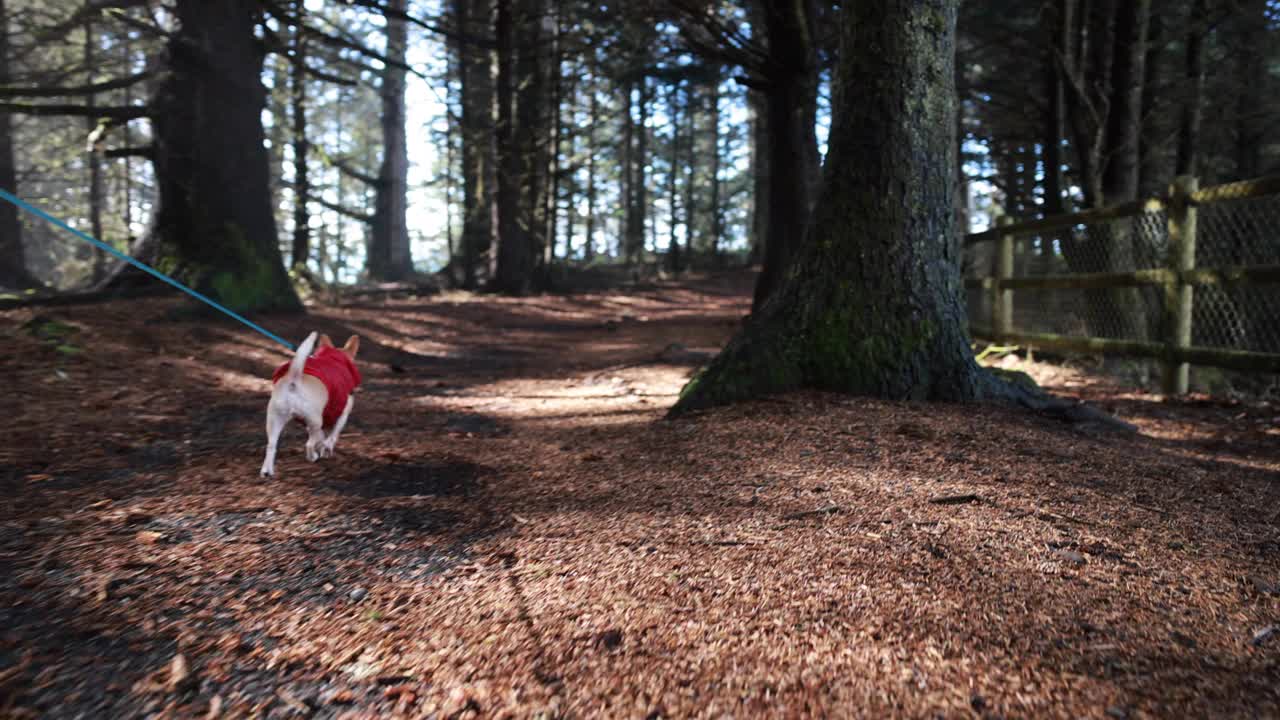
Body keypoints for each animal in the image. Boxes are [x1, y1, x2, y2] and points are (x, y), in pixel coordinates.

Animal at [259, 330, 360, 476]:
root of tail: (294, 380)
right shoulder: (342, 415)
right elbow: (333, 435)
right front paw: (326, 448)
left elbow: (322, 436)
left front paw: (323, 445)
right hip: (315, 420)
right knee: (309, 444)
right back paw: (313, 457)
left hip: (275, 420)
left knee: (271, 445)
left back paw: (267, 471)